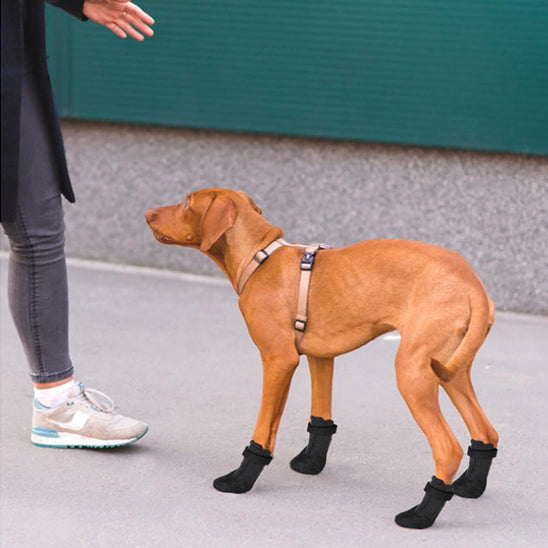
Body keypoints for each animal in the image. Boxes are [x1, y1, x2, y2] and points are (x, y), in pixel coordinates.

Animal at [146, 187, 496, 528]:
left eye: (187, 202)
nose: (148, 213)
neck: (260, 258)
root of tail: (473, 285)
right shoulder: (321, 357)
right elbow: (320, 416)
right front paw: (311, 461)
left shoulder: (278, 360)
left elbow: (264, 428)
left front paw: (242, 478)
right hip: (450, 371)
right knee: (486, 431)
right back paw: (470, 486)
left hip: (413, 373)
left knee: (447, 449)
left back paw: (422, 515)